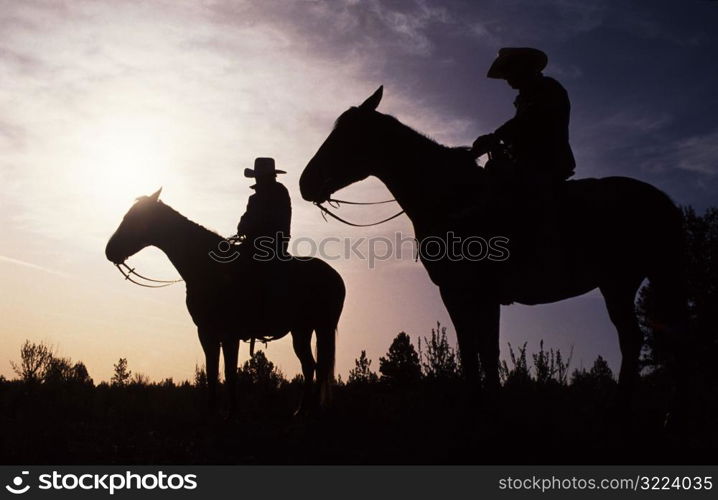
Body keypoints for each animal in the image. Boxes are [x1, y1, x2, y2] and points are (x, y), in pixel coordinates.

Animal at [103, 189, 346, 416]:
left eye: (133, 218)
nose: (109, 251)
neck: (209, 267)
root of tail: (336, 277)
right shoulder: (206, 331)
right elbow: (212, 371)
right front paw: (212, 410)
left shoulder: (230, 333)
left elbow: (229, 372)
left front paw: (233, 412)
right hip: (301, 331)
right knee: (310, 366)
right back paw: (301, 410)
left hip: (322, 328)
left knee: (320, 367)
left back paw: (311, 410)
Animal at [300, 86, 688, 406]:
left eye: (345, 137)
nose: (306, 183)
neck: (453, 199)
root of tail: (665, 201)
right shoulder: (469, 294)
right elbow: (478, 351)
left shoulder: (468, 291)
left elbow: (479, 351)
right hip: (623, 284)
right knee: (642, 339)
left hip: (630, 281)